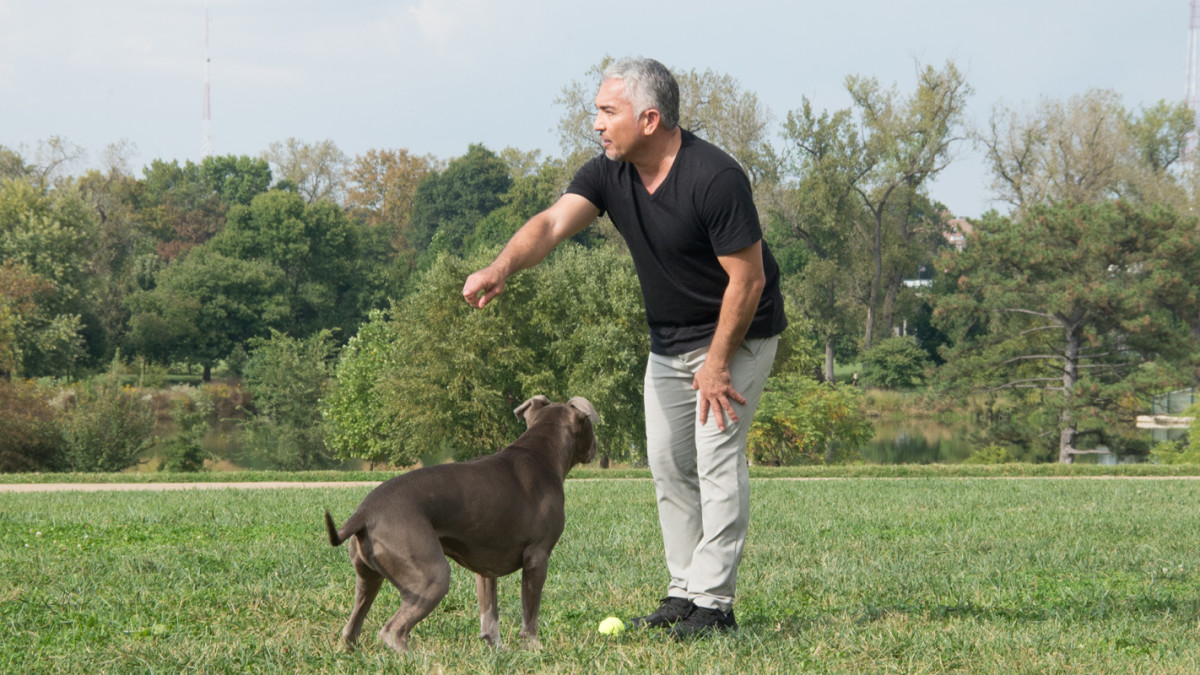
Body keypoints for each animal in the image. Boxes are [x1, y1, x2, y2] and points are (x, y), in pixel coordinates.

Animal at [324, 395, 598, 653]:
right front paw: (533, 648)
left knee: (352, 626)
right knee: (392, 631)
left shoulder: (485, 567)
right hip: (431, 576)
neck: (540, 452)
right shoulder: (538, 557)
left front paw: (497, 649)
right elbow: (530, 614)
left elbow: (490, 615)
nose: (596, 446)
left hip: (368, 577)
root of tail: (364, 512)